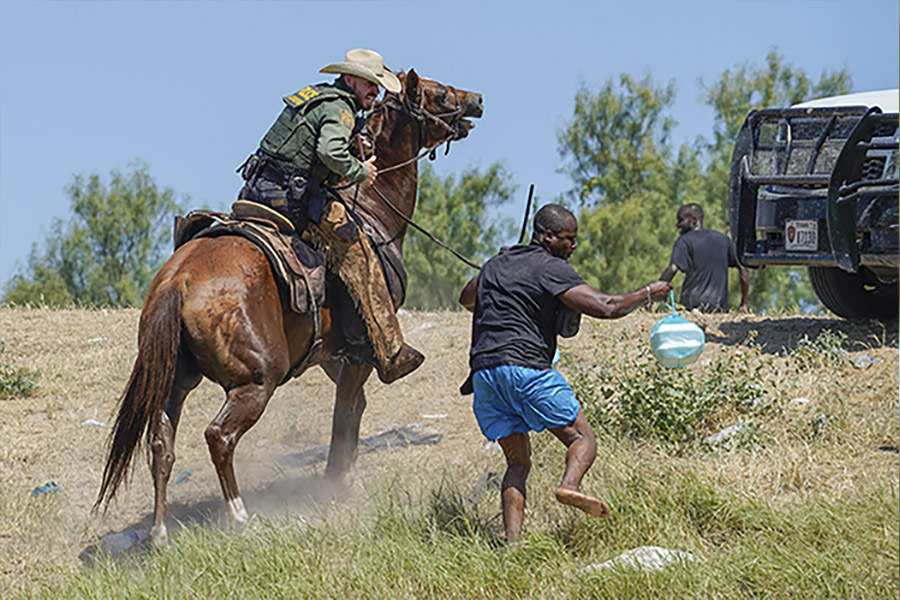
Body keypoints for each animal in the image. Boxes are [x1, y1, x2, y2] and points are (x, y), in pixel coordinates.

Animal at [95, 69, 482, 544]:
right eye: (439, 93)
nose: (477, 100)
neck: (374, 208)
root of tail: (178, 281)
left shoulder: (332, 354)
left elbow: (354, 408)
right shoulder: (361, 351)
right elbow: (344, 412)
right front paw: (337, 482)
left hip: (175, 380)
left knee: (160, 444)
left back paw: (160, 533)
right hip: (257, 380)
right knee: (219, 436)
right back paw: (239, 516)